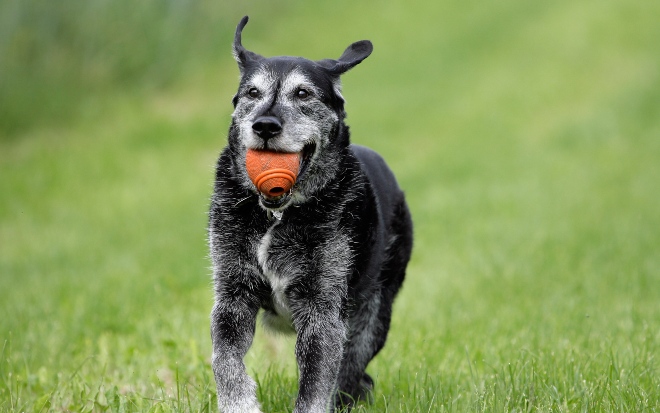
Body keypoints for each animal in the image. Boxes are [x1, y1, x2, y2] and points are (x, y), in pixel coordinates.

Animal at [209, 16, 412, 412]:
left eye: (303, 94)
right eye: (252, 93)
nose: (265, 125)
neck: (276, 217)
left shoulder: (323, 311)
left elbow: (318, 382)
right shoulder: (232, 295)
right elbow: (225, 360)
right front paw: (240, 403)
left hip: (374, 315)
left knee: (353, 372)